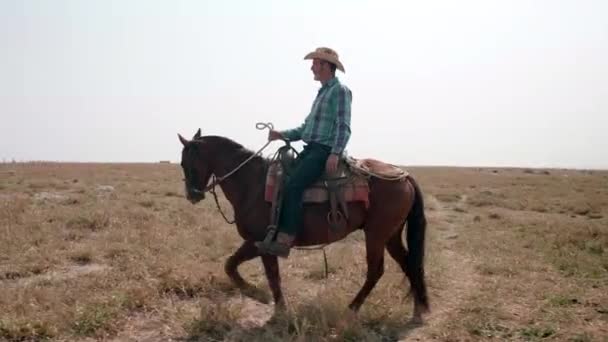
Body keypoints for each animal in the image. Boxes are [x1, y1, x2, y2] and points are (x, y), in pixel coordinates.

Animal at [178, 130, 430, 322]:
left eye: (188, 163)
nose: (192, 195)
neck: (252, 184)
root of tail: (403, 176)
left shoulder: (263, 243)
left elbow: (268, 275)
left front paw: (270, 303)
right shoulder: (256, 242)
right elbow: (231, 265)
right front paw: (259, 295)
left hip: (376, 235)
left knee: (375, 271)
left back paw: (352, 308)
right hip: (391, 235)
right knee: (409, 263)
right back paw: (418, 309)